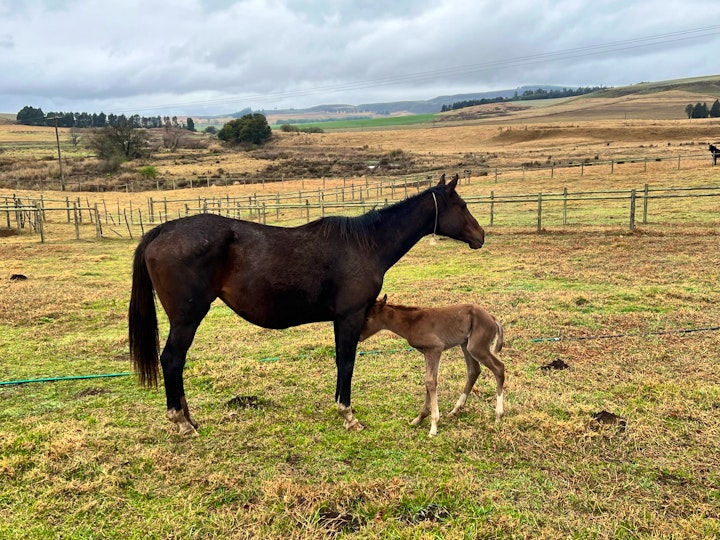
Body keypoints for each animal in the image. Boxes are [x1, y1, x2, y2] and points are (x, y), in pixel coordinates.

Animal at [129, 175, 484, 436]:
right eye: (462, 205)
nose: (480, 235)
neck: (366, 244)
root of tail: (162, 230)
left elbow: (341, 361)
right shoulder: (350, 317)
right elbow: (347, 363)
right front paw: (348, 415)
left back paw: (190, 419)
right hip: (187, 318)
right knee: (172, 360)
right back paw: (182, 423)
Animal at [358, 294, 504, 436]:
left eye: (368, 319)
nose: (359, 337)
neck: (411, 323)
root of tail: (492, 318)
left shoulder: (435, 349)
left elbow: (431, 382)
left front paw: (433, 426)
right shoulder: (426, 352)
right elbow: (428, 381)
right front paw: (419, 418)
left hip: (476, 347)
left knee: (499, 367)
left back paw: (498, 415)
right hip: (465, 345)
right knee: (473, 371)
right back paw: (456, 409)